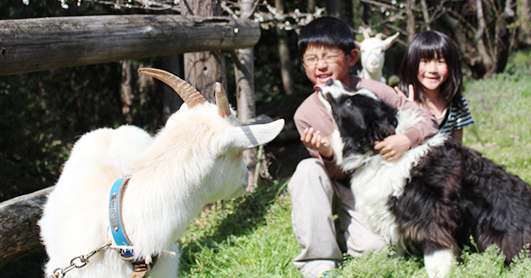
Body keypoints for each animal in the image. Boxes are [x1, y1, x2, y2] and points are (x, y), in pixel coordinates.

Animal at [316, 78, 531, 278]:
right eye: (353, 92)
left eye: (350, 103)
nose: (330, 80)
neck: (376, 152)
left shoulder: (430, 217)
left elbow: (437, 257)